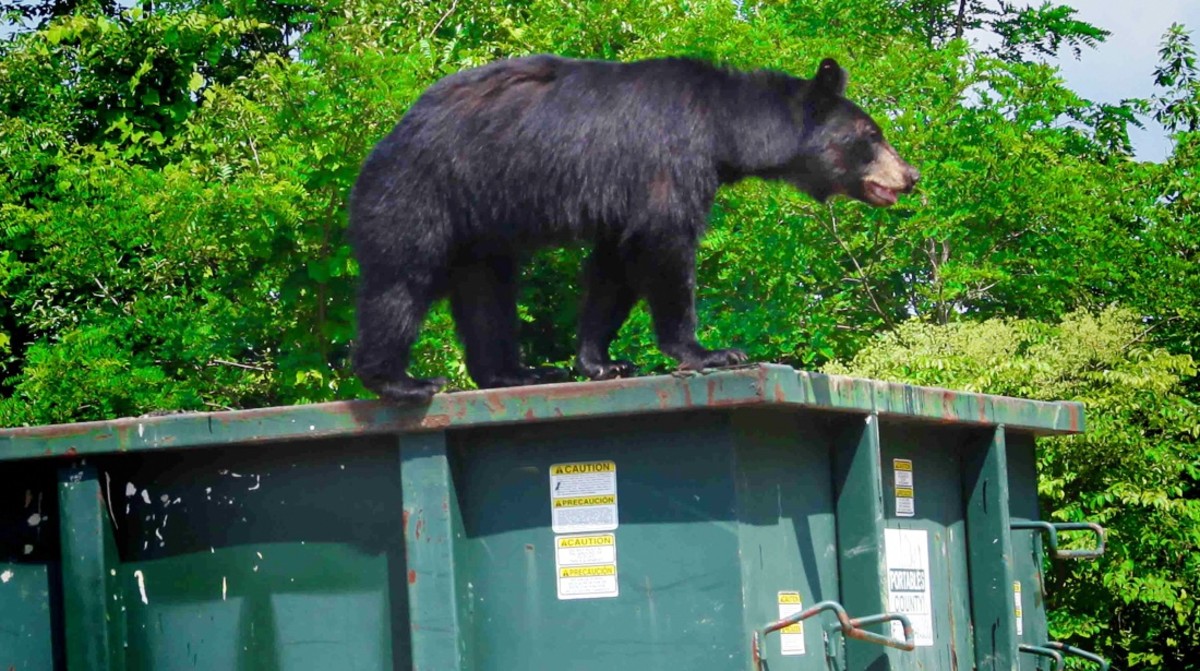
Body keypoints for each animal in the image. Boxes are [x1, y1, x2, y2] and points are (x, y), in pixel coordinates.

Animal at [348, 55, 916, 400]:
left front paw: (600, 361)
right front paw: (707, 351)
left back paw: (517, 371)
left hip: (481, 224)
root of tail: (387, 140)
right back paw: (401, 380)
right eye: (872, 135)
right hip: (421, 192)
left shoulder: (620, 196)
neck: (722, 126)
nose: (910, 176)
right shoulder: (667, 159)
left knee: (488, 291)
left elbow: (613, 266)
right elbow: (664, 244)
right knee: (400, 280)